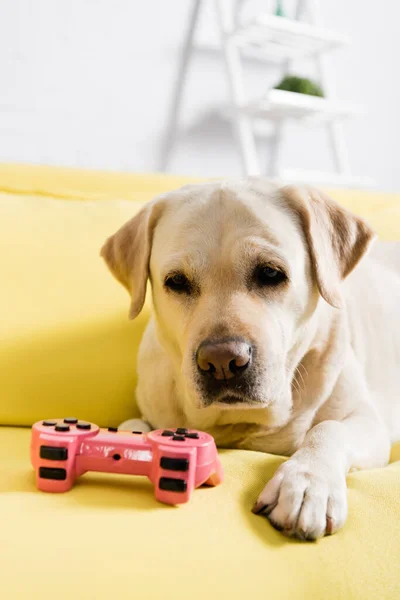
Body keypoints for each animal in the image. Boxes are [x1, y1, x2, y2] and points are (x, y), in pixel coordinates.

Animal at [101, 180, 400, 540]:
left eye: (270, 273)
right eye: (176, 281)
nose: (221, 362)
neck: (241, 423)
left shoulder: (368, 421)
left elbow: (329, 428)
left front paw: (307, 483)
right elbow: (131, 425)